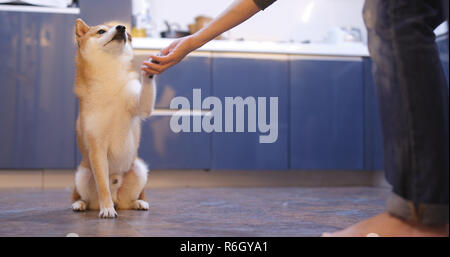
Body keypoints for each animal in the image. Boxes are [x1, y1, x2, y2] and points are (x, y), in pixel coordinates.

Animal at [69, 19, 156, 217]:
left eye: (128, 35)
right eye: (101, 31)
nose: (122, 28)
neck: (110, 80)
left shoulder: (140, 105)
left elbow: (145, 97)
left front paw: (149, 69)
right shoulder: (96, 147)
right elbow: (103, 185)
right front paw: (107, 208)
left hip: (138, 169)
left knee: (129, 202)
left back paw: (138, 202)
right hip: (83, 175)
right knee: (86, 197)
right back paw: (81, 204)